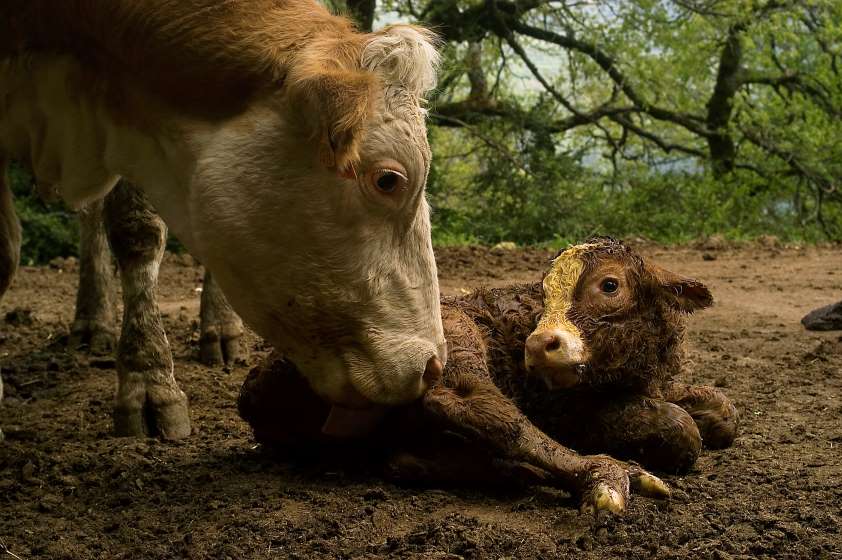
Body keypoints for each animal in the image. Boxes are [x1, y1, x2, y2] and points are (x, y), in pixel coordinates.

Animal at [238, 238, 736, 516]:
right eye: (544, 293)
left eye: (610, 285)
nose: (538, 346)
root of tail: (255, 383)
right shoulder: (567, 413)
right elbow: (680, 428)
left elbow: (724, 413)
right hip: (452, 341)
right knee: (475, 408)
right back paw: (607, 473)